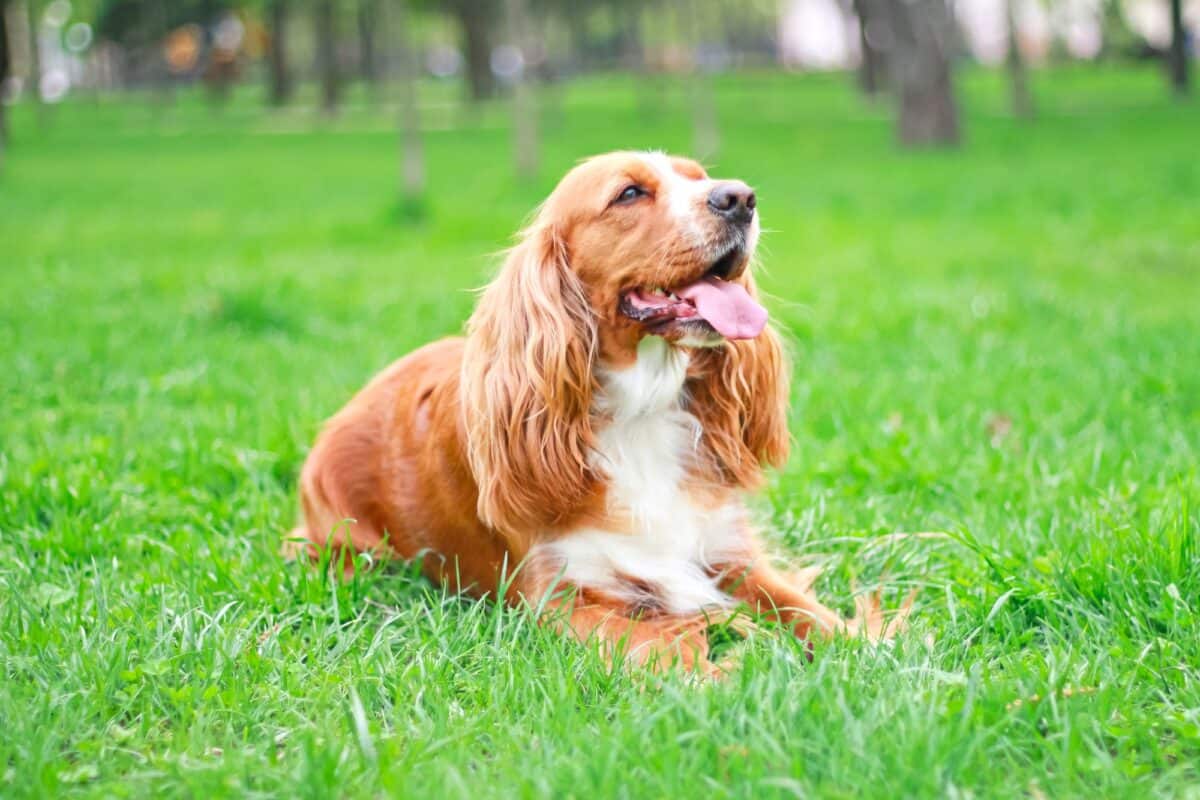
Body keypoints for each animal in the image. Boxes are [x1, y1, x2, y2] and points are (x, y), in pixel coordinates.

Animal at [292, 151, 907, 676]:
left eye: (700, 176)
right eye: (629, 193)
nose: (741, 198)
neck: (641, 412)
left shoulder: (728, 554)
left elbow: (808, 611)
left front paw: (877, 649)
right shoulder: (561, 595)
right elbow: (660, 649)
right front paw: (725, 676)